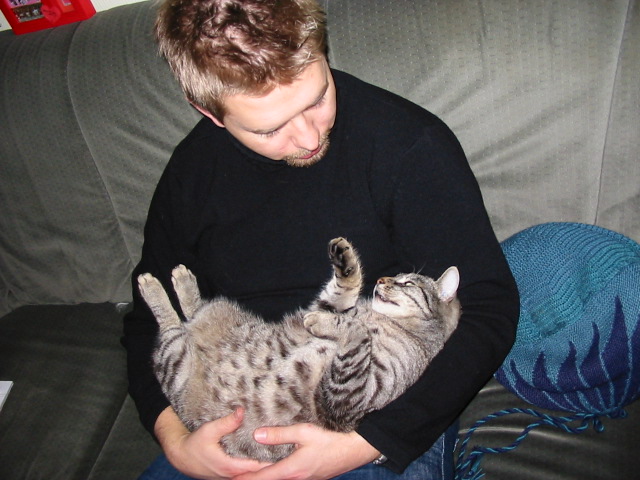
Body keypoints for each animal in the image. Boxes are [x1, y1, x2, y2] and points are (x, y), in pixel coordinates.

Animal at [138, 237, 461, 462]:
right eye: (394, 277)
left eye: (407, 283)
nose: (382, 280)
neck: (385, 320)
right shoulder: (332, 305)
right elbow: (343, 291)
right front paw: (345, 261)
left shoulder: (345, 400)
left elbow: (356, 334)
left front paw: (329, 323)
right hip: (207, 323)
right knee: (193, 311)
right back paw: (182, 281)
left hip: (175, 361)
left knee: (172, 324)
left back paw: (154, 286)